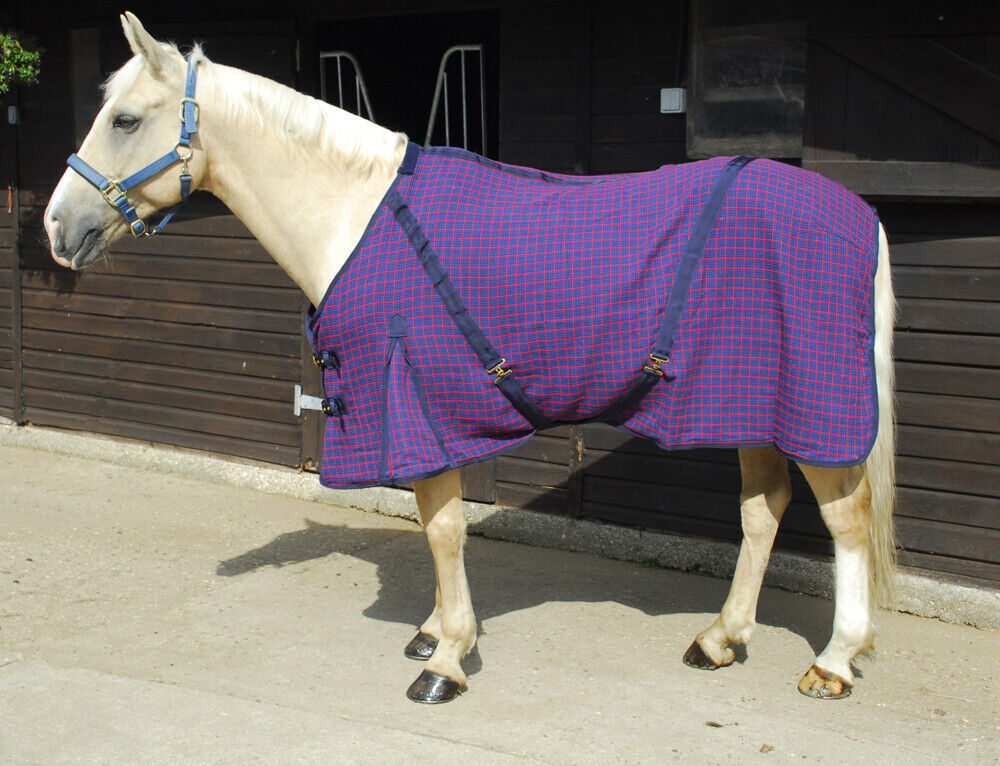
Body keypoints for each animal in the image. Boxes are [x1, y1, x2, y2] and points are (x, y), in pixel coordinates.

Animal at [43, 13, 896, 704]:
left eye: (125, 118)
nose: (56, 226)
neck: (356, 215)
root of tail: (859, 214)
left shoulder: (415, 401)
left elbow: (445, 529)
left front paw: (446, 658)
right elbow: (435, 524)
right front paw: (434, 631)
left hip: (811, 409)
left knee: (846, 522)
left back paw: (834, 662)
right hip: (750, 403)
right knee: (763, 511)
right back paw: (721, 638)